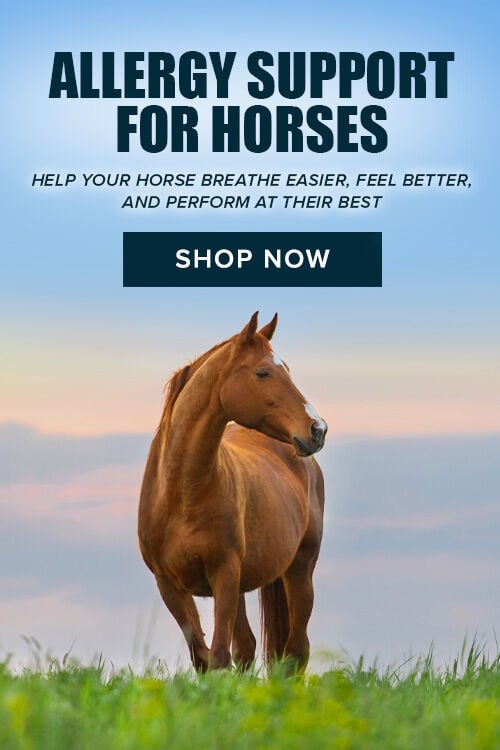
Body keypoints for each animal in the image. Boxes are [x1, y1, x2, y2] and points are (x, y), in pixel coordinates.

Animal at [138, 312, 327, 672]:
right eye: (262, 372)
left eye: (287, 369)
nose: (317, 429)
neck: (183, 495)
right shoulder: (169, 585)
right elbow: (203, 657)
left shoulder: (224, 575)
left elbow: (220, 656)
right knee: (249, 647)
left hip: (300, 570)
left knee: (297, 651)